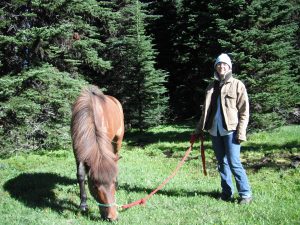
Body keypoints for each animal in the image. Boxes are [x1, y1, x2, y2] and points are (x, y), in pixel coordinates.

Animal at [71, 85, 123, 221]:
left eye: (114, 183)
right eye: (94, 186)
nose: (112, 217)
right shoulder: (78, 152)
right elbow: (80, 175)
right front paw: (83, 204)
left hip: (118, 141)